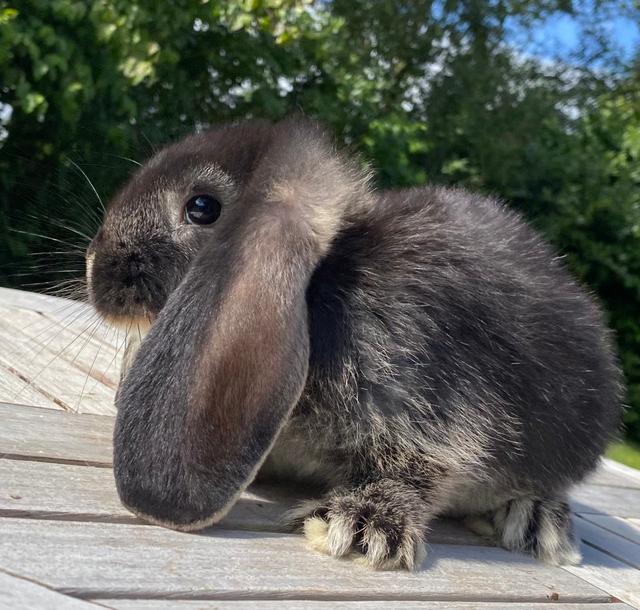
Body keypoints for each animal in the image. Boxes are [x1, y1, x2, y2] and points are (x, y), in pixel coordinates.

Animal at [85, 116, 620, 568]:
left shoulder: (432, 401)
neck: (323, 291)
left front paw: (361, 524)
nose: (93, 264)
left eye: (201, 207)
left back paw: (536, 521)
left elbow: (424, 465)